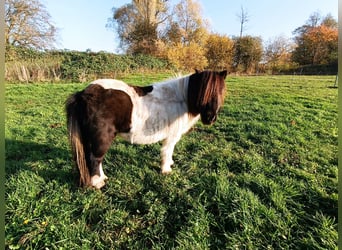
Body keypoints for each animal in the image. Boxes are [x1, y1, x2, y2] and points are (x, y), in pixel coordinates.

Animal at [66, 69, 227, 188]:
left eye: (220, 91)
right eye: (203, 92)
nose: (210, 118)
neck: (181, 98)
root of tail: (84, 94)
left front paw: (169, 164)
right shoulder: (171, 137)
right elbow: (167, 152)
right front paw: (166, 170)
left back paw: (103, 177)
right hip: (102, 137)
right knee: (95, 158)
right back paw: (98, 183)